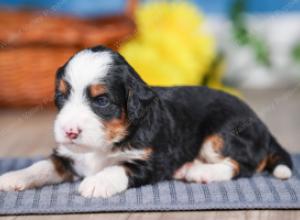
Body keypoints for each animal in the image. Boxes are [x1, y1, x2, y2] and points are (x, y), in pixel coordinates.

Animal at [0, 45, 292, 199]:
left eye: (101, 101)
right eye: (62, 96)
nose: (69, 131)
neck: (105, 142)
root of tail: (261, 124)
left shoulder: (152, 160)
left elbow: (120, 167)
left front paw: (97, 182)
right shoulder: (67, 156)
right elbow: (42, 166)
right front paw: (14, 176)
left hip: (222, 134)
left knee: (244, 165)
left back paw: (200, 172)